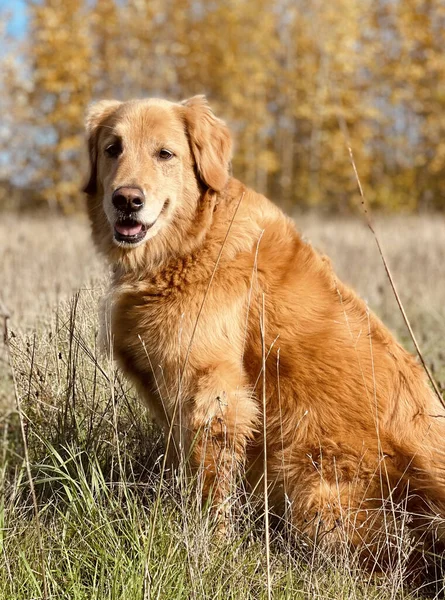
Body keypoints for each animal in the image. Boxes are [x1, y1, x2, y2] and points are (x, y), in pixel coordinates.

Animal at [84, 96, 444, 560]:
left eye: (165, 154)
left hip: (315, 494)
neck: (192, 239)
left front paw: (208, 544)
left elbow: (210, 487)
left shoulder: (213, 390)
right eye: (113, 148)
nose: (126, 199)